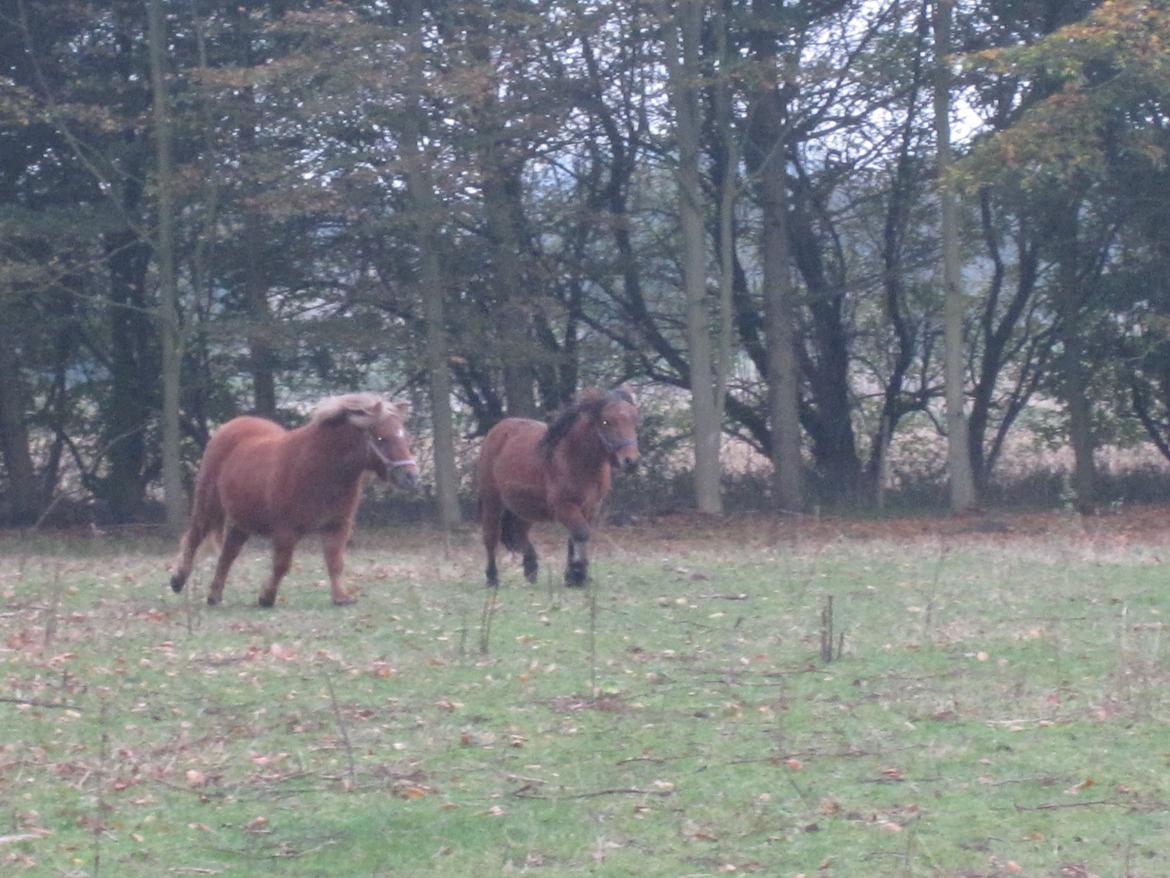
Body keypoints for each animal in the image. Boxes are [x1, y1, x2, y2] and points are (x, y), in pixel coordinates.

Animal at [167, 395, 418, 608]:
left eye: (406, 436)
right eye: (381, 438)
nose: (411, 476)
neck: (322, 469)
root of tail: (231, 425)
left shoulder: (337, 526)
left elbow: (335, 562)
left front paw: (341, 598)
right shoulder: (286, 530)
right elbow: (282, 565)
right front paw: (266, 597)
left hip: (242, 521)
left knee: (228, 553)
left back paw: (214, 596)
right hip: (208, 506)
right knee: (194, 538)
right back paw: (178, 580)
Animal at [475, 386, 641, 587]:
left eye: (634, 419)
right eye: (606, 421)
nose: (631, 461)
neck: (576, 459)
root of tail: (497, 430)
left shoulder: (591, 507)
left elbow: (575, 536)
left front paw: (575, 577)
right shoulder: (563, 506)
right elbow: (581, 533)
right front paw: (578, 572)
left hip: (526, 508)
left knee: (519, 532)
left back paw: (531, 569)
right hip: (492, 501)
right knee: (490, 537)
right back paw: (492, 578)